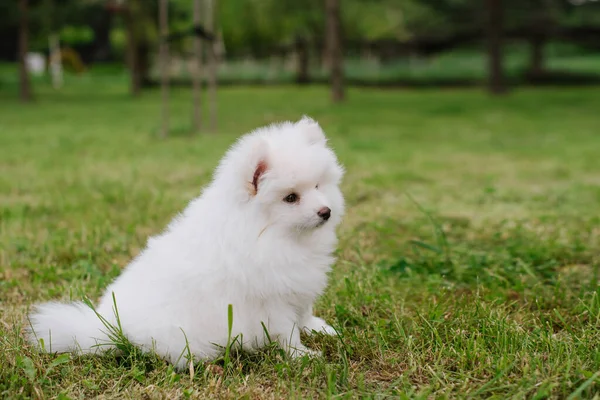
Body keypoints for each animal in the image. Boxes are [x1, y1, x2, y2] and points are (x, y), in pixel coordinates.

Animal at [27, 115, 346, 368]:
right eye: (291, 197)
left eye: (318, 185)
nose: (325, 211)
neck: (269, 233)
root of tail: (107, 325)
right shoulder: (271, 297)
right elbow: (286, 330)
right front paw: (302, 355)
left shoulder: (296, 282)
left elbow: (304, 313)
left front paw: (319, 329)